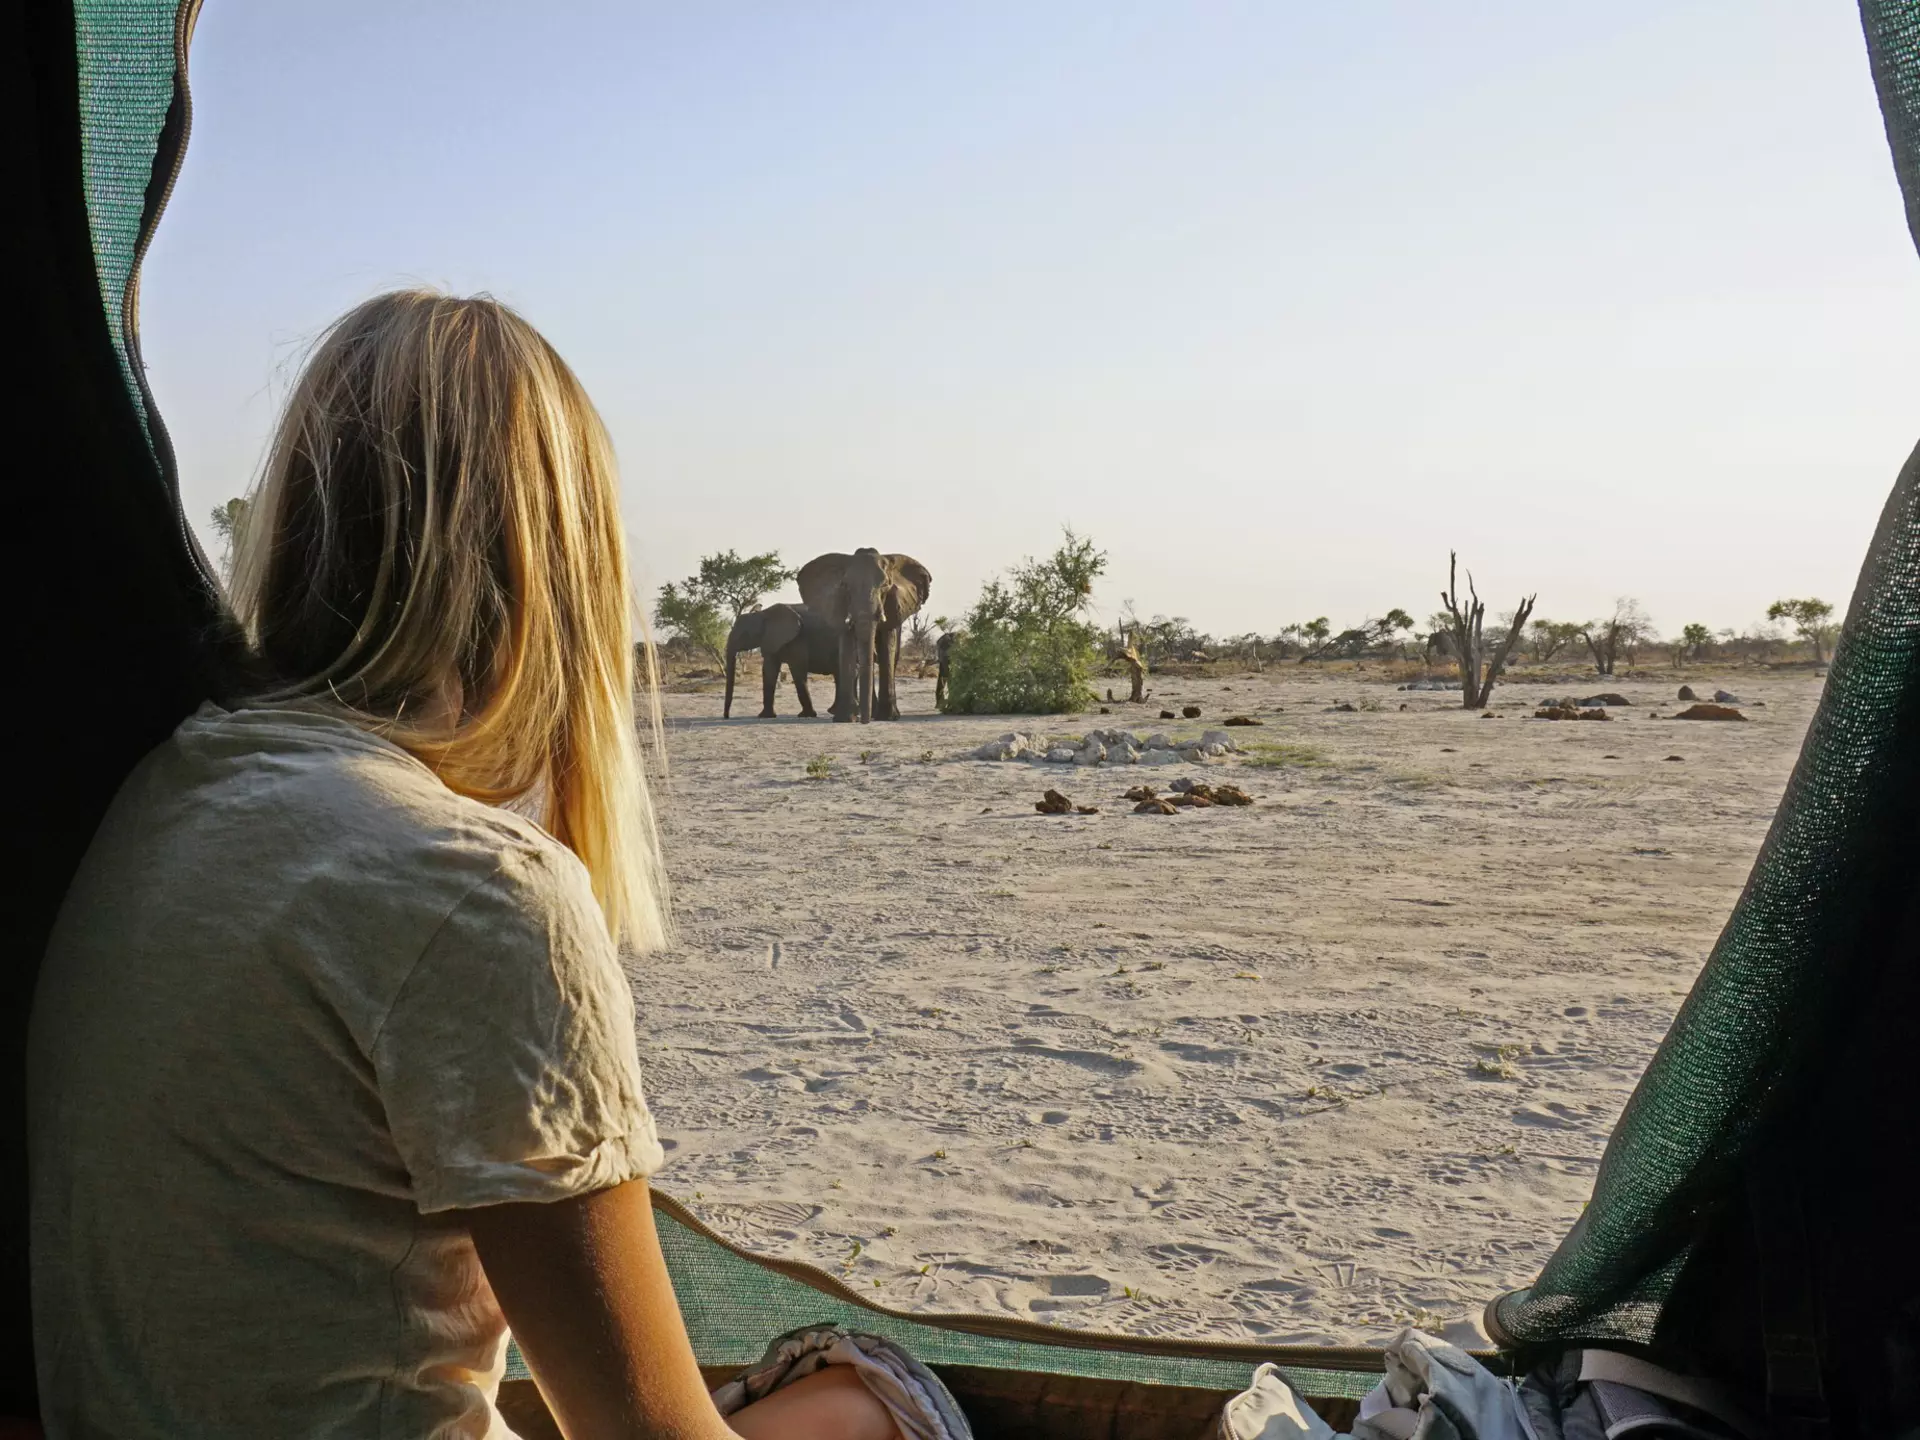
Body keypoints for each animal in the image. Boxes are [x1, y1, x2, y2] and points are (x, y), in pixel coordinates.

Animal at [796, 549, 932, 723]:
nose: (864, 722)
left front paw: (888, 718)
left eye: (885, 586)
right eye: (845, 586)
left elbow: (887, 648)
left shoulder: (893, 606)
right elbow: (847, 647)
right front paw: (845, 719)